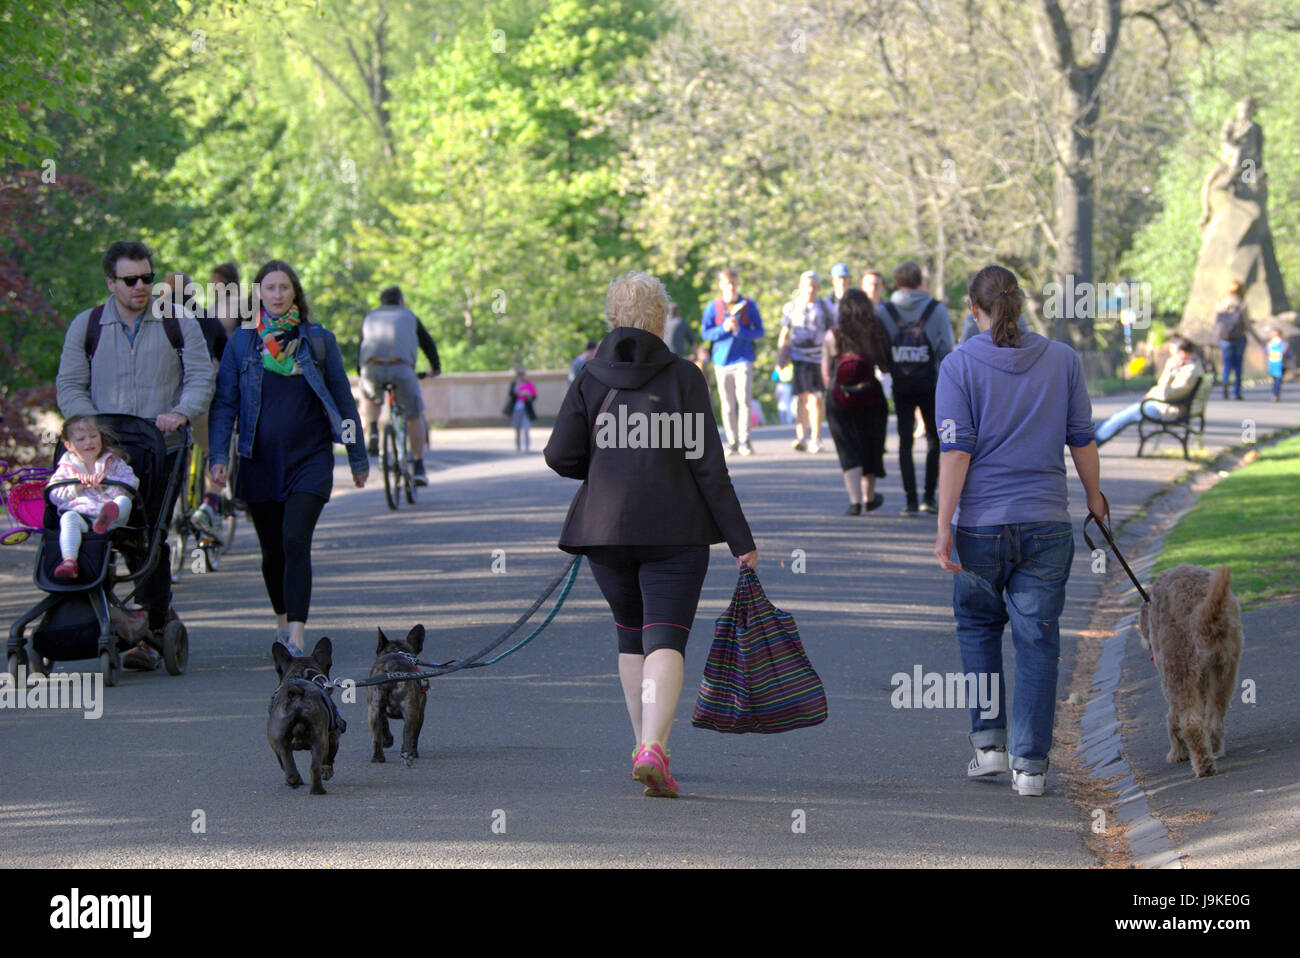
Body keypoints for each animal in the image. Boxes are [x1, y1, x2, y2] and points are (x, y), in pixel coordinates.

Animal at [1144, 561, 1242, 779]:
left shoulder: (1170, 682)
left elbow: (1173, 719)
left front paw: (1177, 752)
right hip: (1224, 668)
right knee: (1214, 718)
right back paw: (1215, 749)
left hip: (1180, 668)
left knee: (1191, 724)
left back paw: (1203, 765)